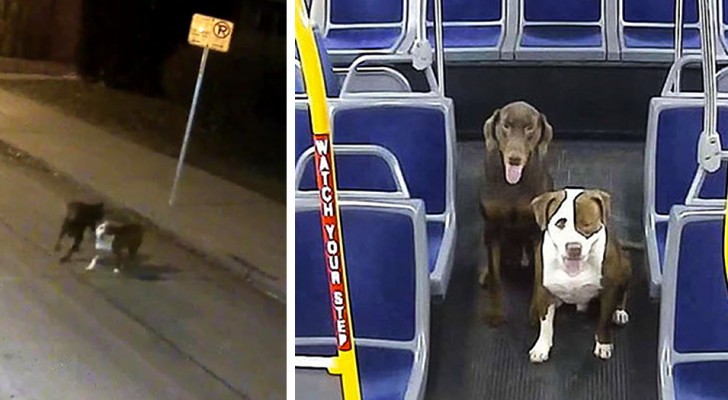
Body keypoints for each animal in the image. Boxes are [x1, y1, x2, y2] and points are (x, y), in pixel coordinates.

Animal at [478, 101, 552, 326]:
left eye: (529, 128)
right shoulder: (492, 227)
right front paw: (494, 313)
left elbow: (539, 276)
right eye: (506, 126)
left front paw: (537, 313)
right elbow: (495, 276)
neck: (514, 186)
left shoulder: (538, 233)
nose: (514, 159)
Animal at [528, 188, 632, 362]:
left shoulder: (609, 291)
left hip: (625, 267)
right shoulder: (543, 290)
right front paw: (541, 347)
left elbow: (603, 321)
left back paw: (619, 312)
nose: (574, 248)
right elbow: (546, 324)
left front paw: (603, 344)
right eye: (560, 223)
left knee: (623, 292)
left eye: (588, 224)